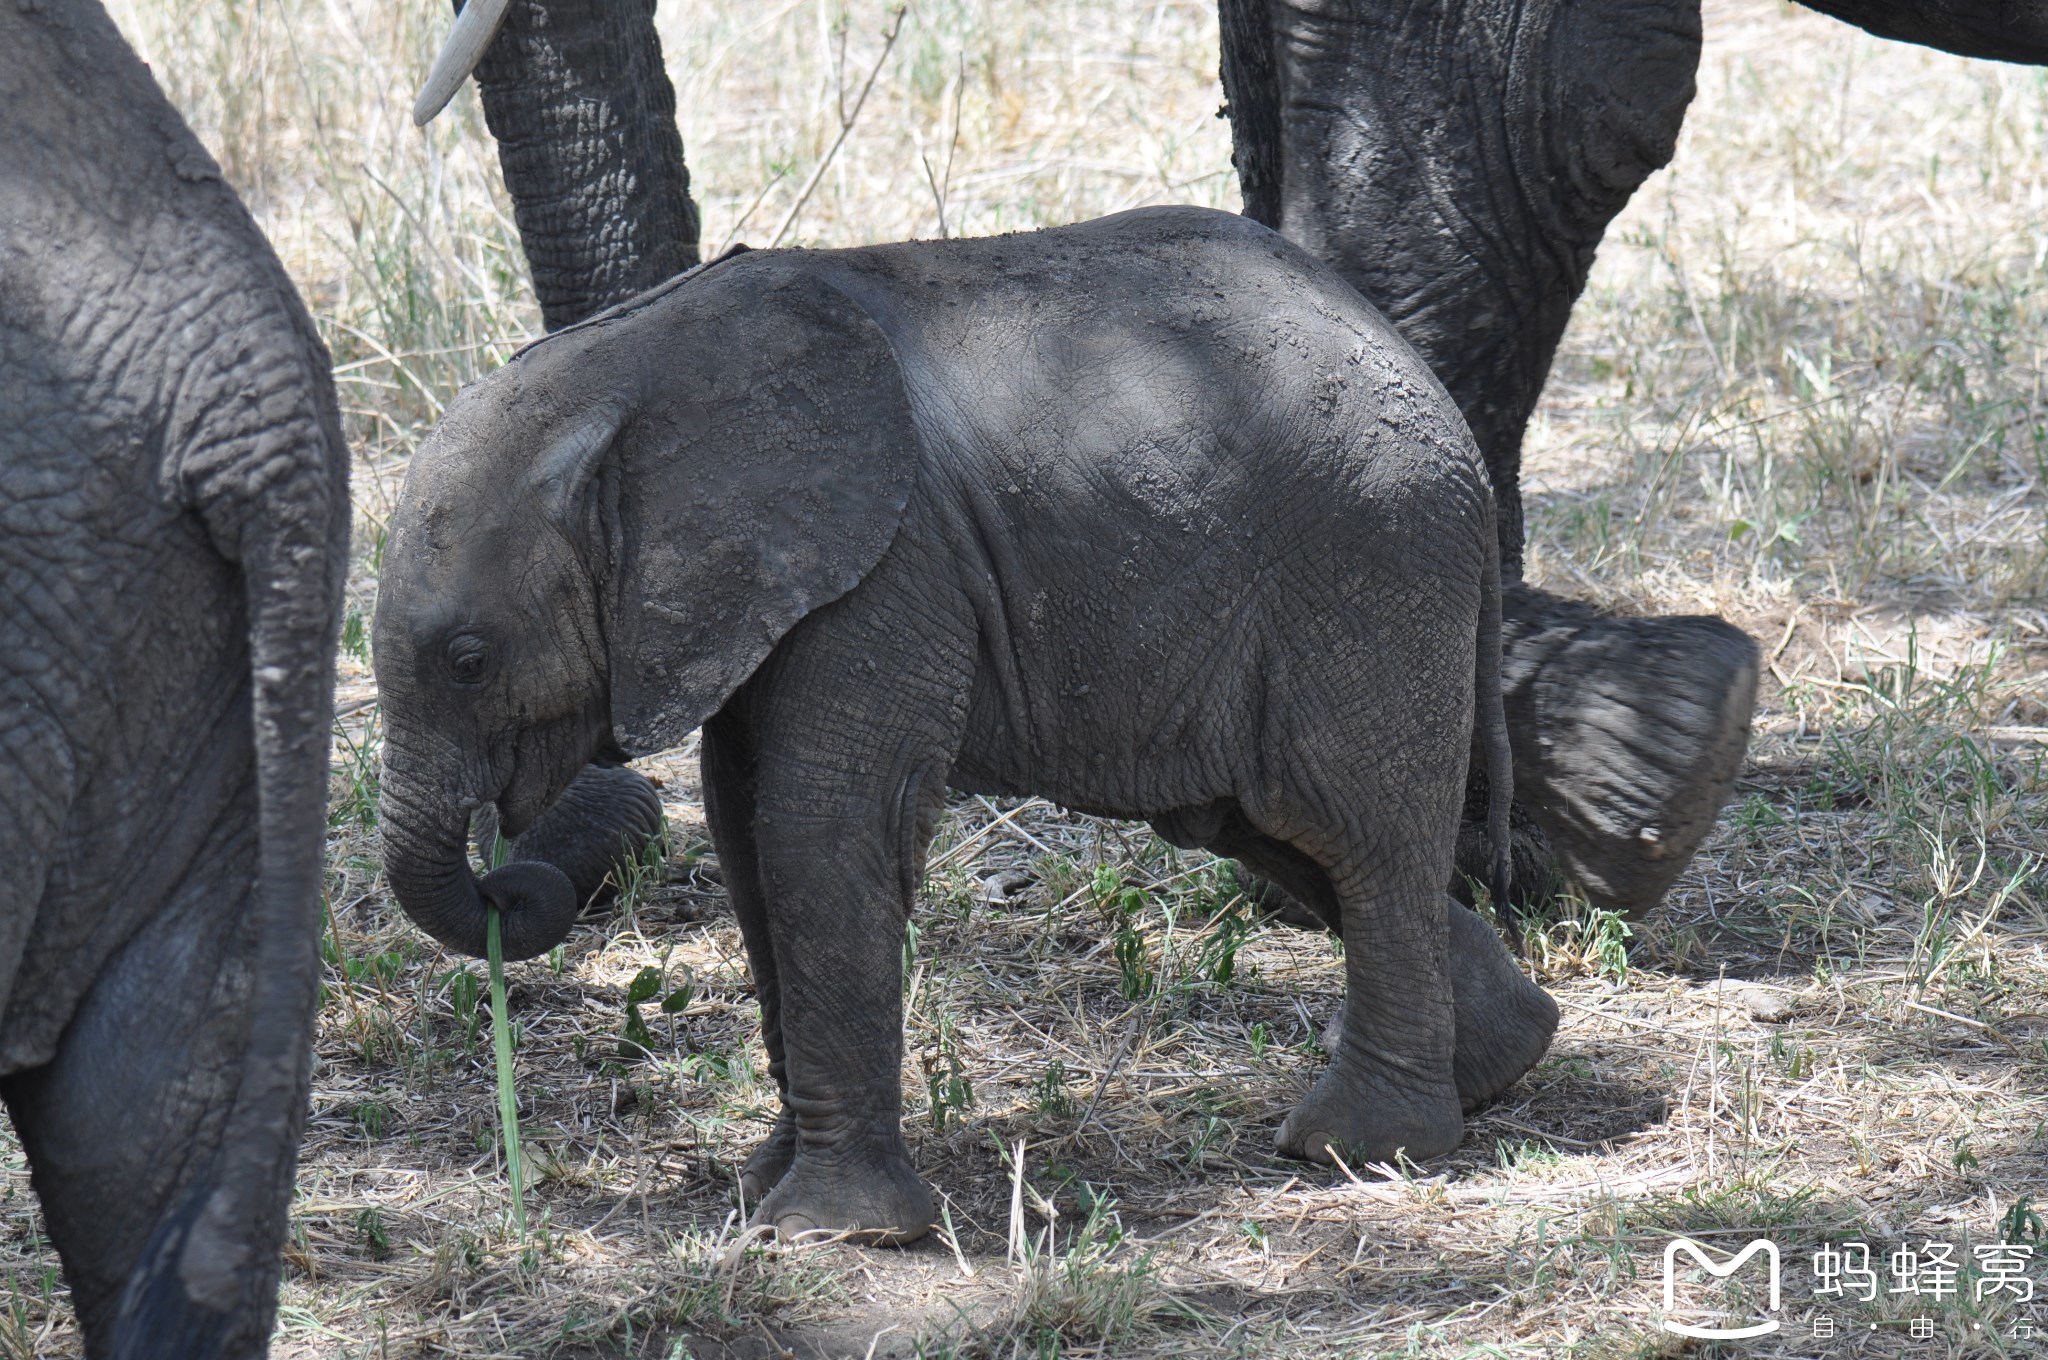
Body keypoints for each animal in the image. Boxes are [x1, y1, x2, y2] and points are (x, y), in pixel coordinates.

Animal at [372, 204, 1548, 1245]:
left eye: (469, 660)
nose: (510, 883)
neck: (619, 369)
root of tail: (1419, 372)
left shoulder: (890, 563)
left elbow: (817, 834)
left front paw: (832, 1232)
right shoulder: (775, 586)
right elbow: (745, 834)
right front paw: (759, 1188)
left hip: (1371, 565)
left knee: (1355, 835)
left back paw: (1360, 1146)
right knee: (1269, 828)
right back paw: (1502, 1065)